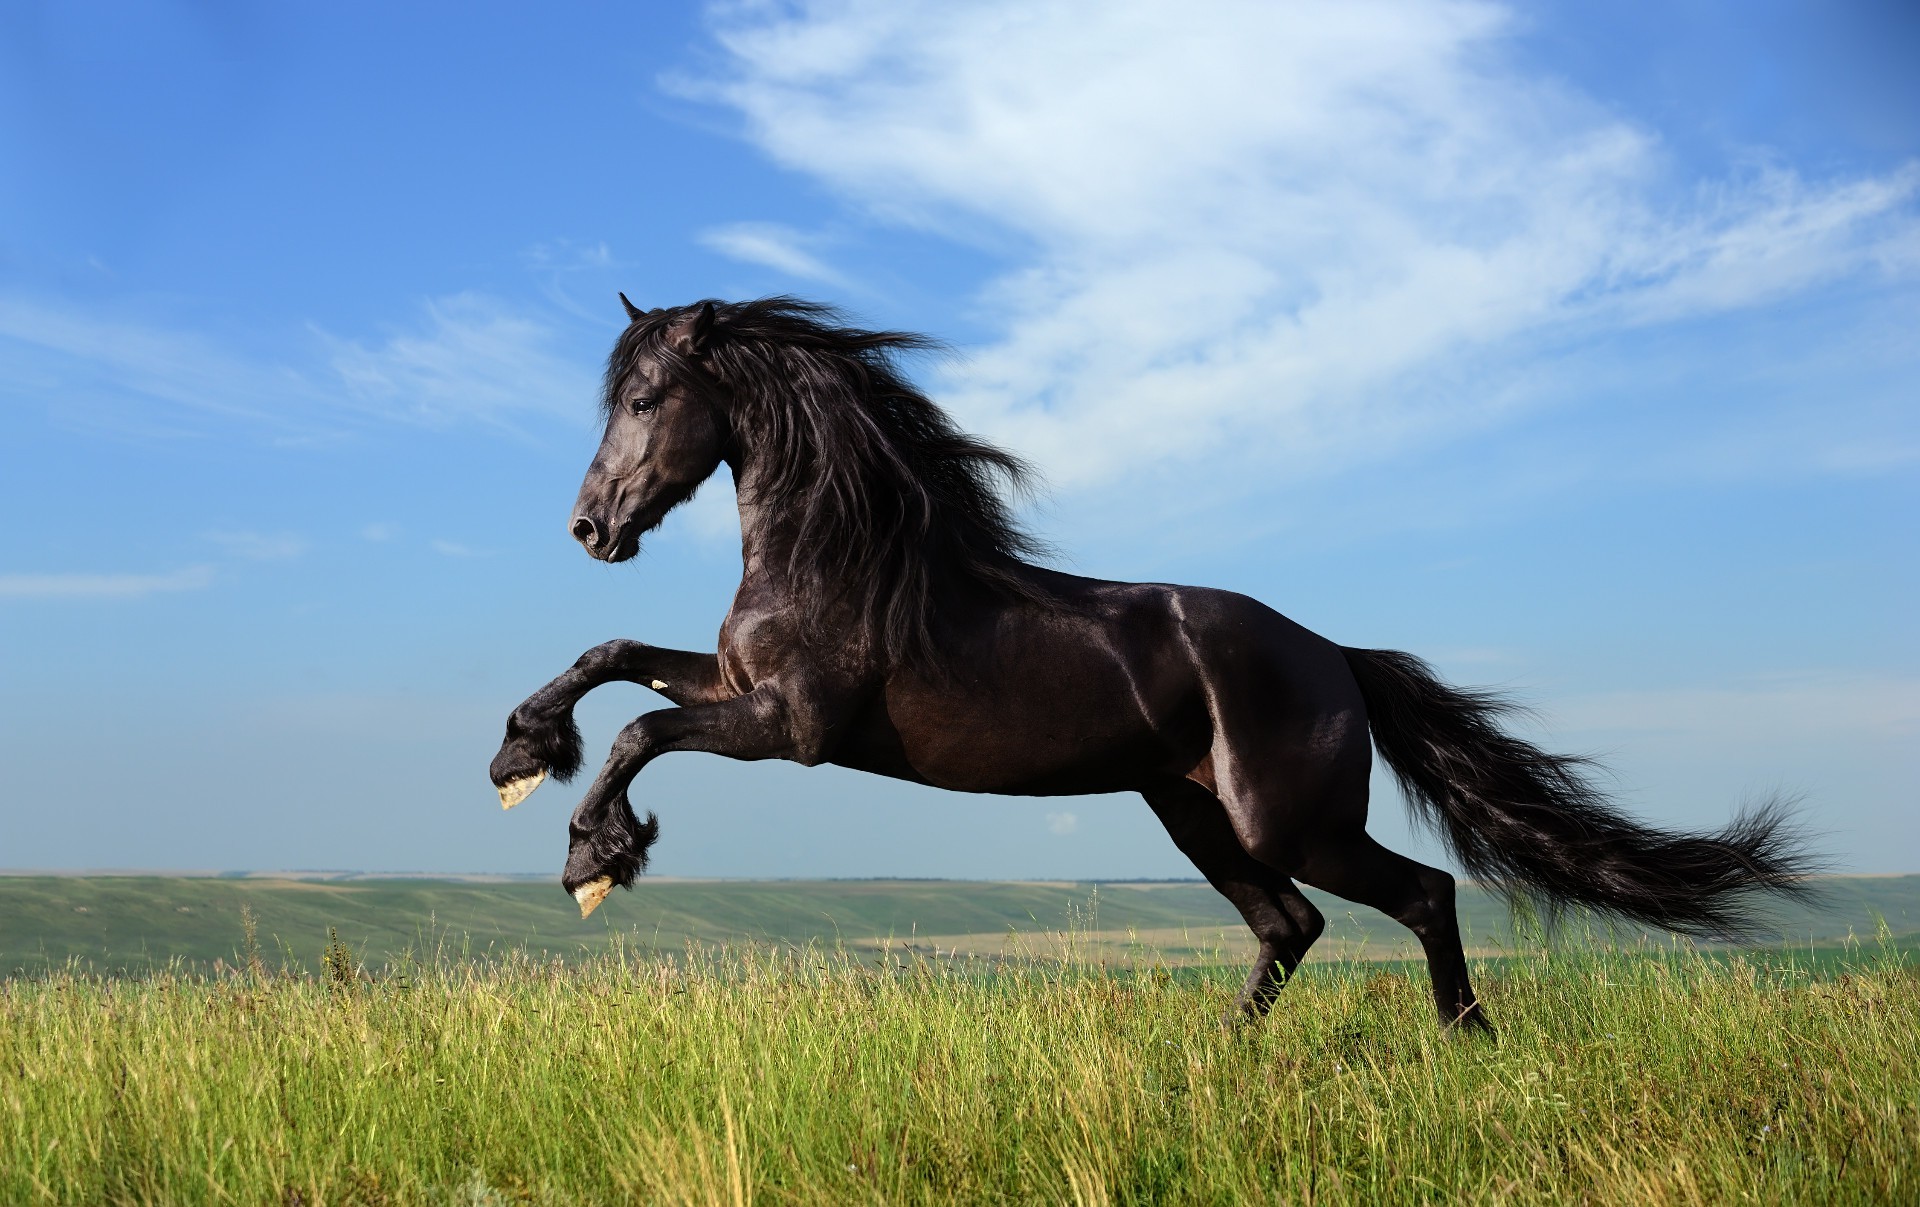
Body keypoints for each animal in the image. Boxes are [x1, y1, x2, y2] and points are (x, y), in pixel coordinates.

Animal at [487, 291, 1804, 1028]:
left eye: (648, 399)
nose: (591, 528)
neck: (842, 555)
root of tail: (1337, 656)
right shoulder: (741, 688)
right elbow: (614, 656)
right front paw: (521, 754)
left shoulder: (793, 727)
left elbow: (643, 727)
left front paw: (593, 857)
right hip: (1192, 812)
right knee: (1288, 926)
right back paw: (1221, 1059)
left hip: (1288, 819)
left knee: (1417, 895)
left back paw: (1468, 1040)